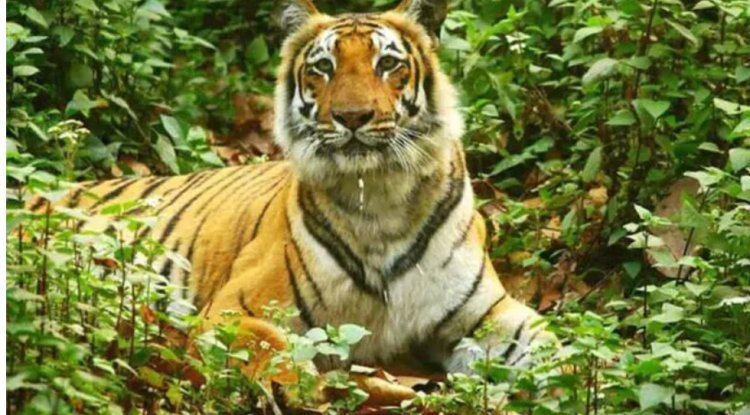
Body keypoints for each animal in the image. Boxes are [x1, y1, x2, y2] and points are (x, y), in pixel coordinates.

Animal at [31, 0, 556, 378]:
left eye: (388, 63)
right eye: (323, 68)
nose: (352, 116)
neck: (380, 197)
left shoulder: (488, 313)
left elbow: (558, 350)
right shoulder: (236, 308)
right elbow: (274, 350)